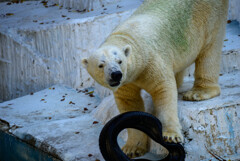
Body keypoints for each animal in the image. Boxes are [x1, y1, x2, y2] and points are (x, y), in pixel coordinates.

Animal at [81, 0, 229, 158]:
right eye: (101, 65)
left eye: (119, 61)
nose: (116, 74)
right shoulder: (127, 80)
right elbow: (129, 102)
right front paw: (132, 148)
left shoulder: (151, 61)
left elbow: (163, 89)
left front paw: (171, 136)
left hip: (209, 18)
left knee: (209, 50)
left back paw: (198, 92)